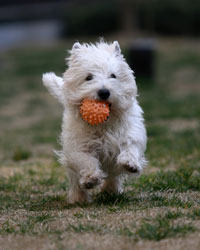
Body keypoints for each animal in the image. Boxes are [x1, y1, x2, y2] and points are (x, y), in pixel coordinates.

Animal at [42, 39, 147, 203]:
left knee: (113, 175)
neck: (104, 124)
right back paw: (79, 198)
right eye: (89, 77)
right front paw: (91, 178)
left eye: (113, 75)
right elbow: (86, 160)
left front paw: (130, 163)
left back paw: (111, 191)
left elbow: (131, 147)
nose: (104, 92)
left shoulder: (131, 133)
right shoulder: (79, 146)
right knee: (75, 179)